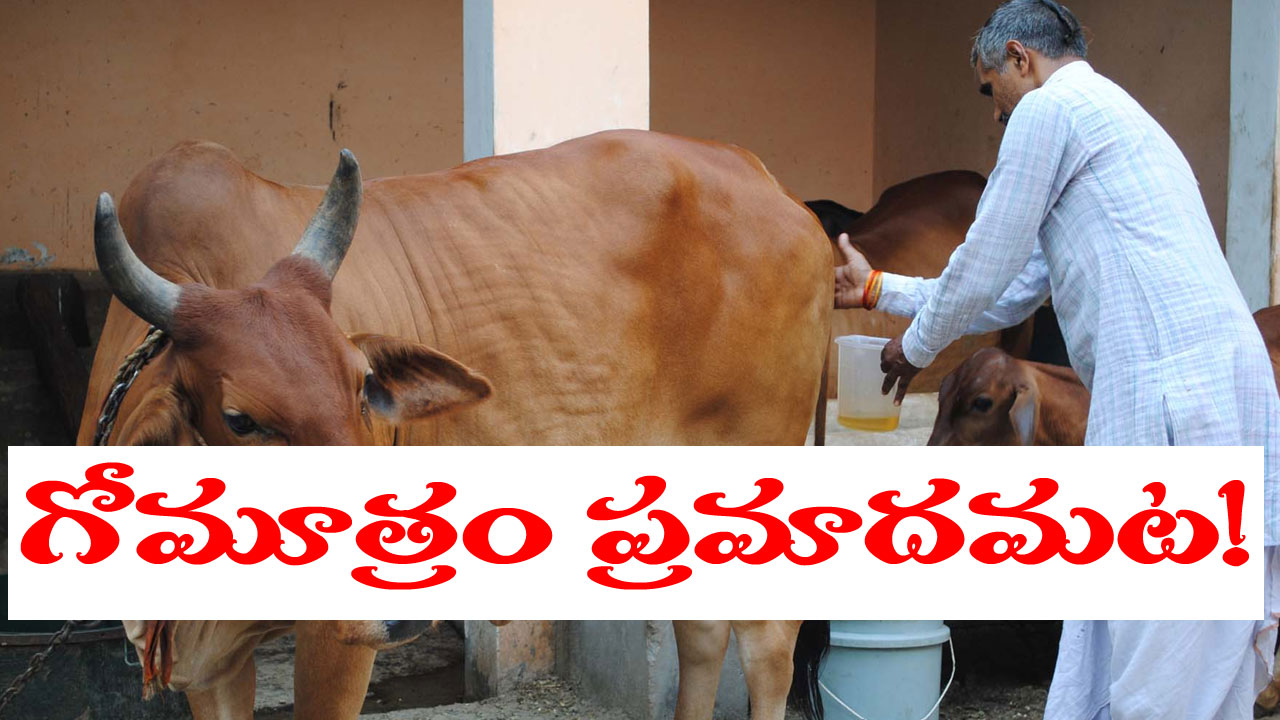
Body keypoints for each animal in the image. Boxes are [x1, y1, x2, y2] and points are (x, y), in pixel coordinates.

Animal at [79, 130, 832, 719]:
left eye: (363, 386)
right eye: (239, 418)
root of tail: (768, 181)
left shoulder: (336, 639)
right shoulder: (209, 659)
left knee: (768, 649)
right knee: (702, 631)